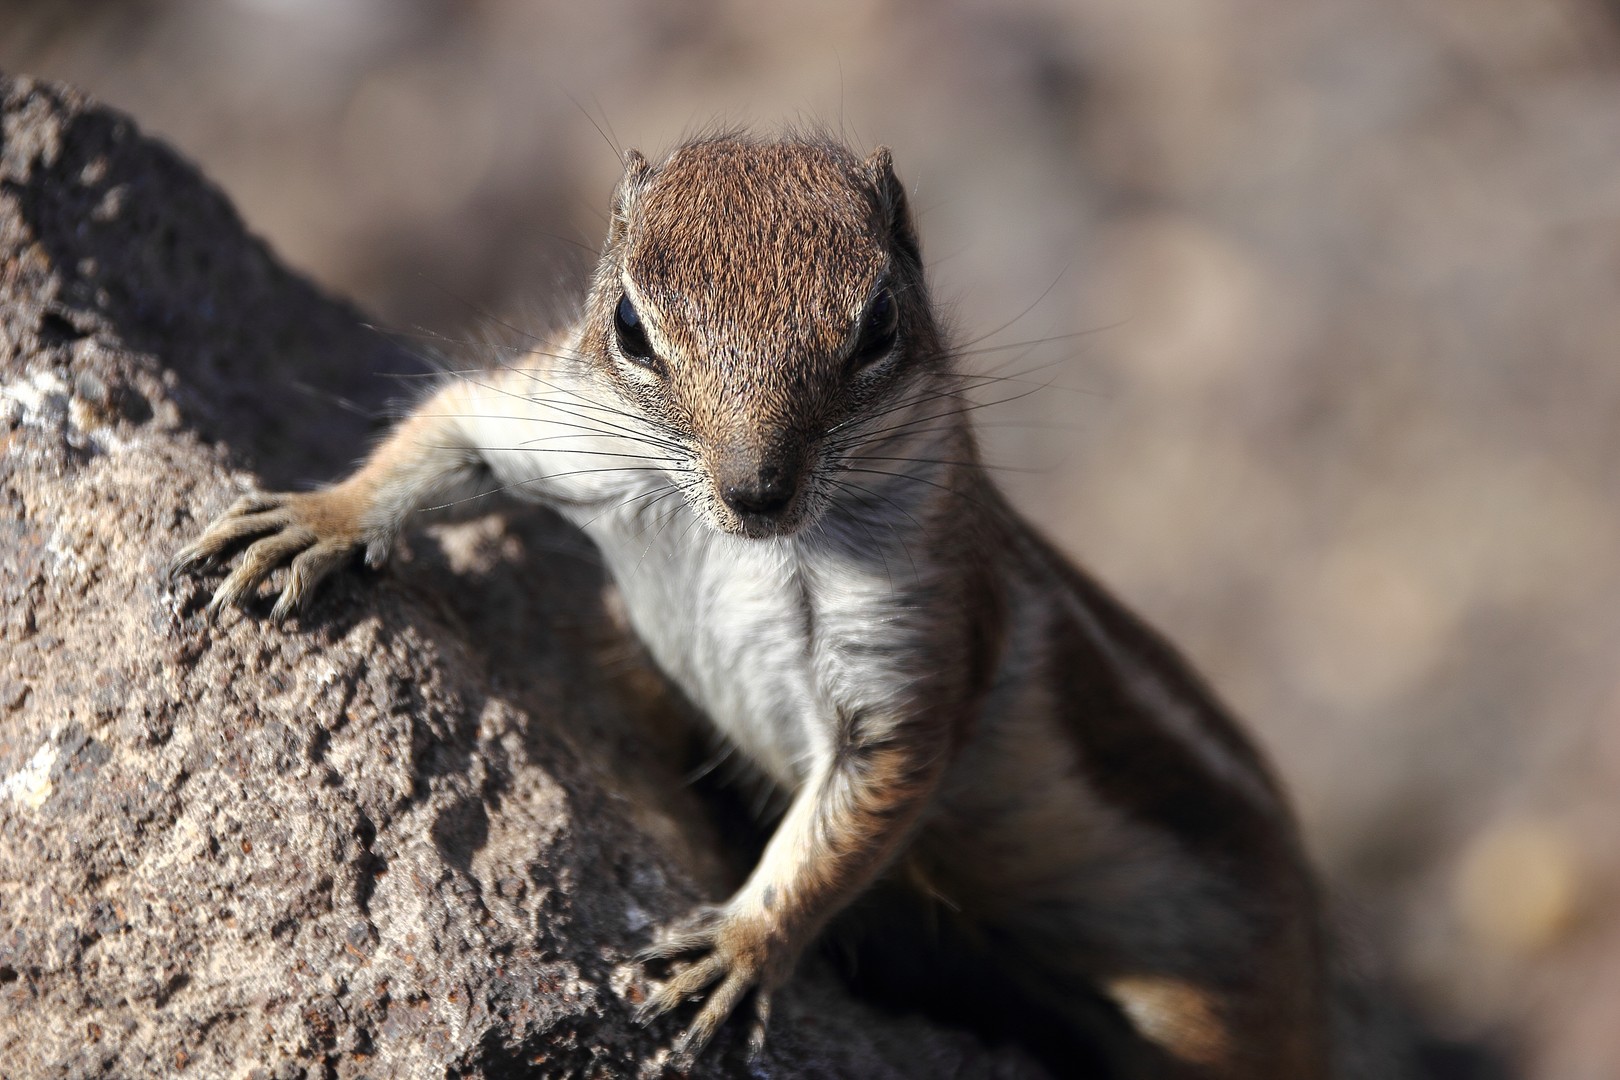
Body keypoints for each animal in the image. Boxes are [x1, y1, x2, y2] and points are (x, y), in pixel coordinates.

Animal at [170, 137, 1386, 1080]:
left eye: (878, 324)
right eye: (631, 327)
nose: (756, 488)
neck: (730, 546)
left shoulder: (910, 642)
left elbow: (848, 823)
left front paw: (741, 947)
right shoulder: (551, 421)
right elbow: (448, 430)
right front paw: (314, 519)